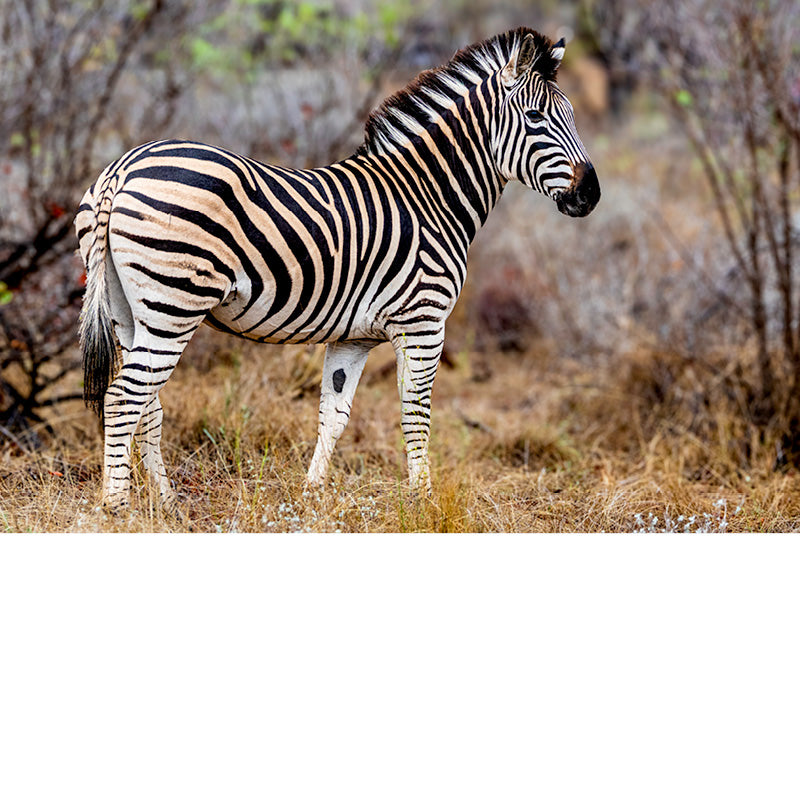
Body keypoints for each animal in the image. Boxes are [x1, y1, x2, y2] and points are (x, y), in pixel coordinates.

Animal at [76, 27, 600, 517]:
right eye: (535, 119)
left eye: (573, 116)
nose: (590, 195)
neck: (429, 196)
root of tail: (122, 168)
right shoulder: (424, 321)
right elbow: (416, 412)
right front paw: (423, 502)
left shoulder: (354, 338)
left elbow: (335, 414)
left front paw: (312, 494)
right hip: (173, 305)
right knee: (123, 399)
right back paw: (116, 506)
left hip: (130, 313)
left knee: (148, 404)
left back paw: (164, 503)